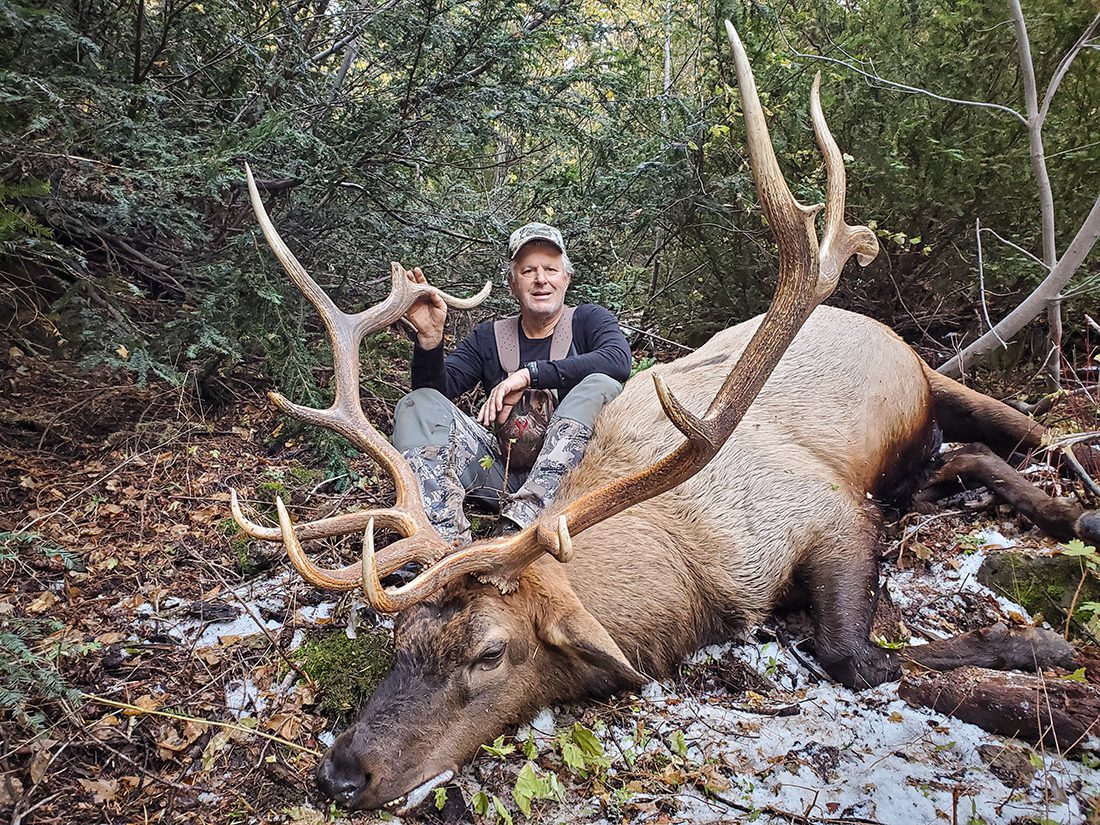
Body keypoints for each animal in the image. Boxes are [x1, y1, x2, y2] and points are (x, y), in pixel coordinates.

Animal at [228, 22, 1098, 815]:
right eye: (402, 639)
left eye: (490, 652)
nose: (341, 771)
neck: (691, 573)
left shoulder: (830, 510)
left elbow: (861, 657)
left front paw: (1048, 658)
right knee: (965, 462)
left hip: (932, 378)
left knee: (1032, 433)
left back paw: (1076, 508)